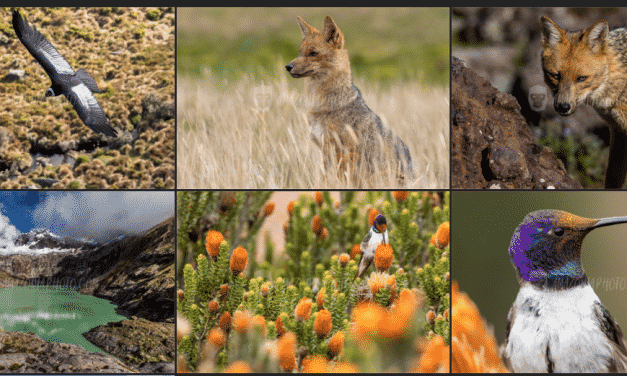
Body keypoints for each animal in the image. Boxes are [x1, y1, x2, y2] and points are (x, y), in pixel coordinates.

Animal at [284, 15, 412, 186]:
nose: (288, 66)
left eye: (313, 53)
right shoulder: (324, 150)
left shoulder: (342, 151)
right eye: (300, 52)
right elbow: (324, 177)